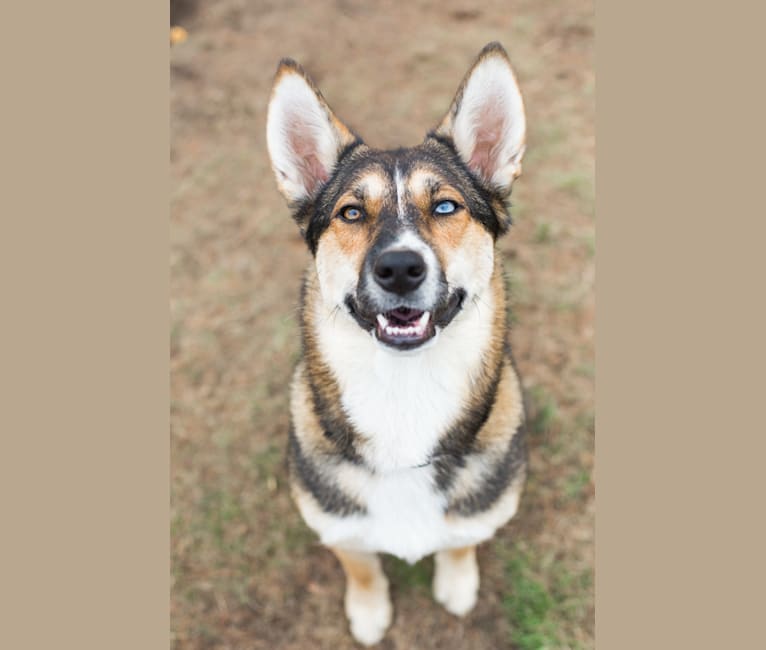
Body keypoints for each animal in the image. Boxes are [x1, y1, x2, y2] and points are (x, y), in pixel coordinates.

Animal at [266, 41, 528, 644]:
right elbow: (360, 564)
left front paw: (457, 584)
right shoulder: (336, 523)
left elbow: (461, 541)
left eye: (447, 206)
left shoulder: (482, 510)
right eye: (351, 212)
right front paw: (369, 612)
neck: (405, 397)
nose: (400, 268)